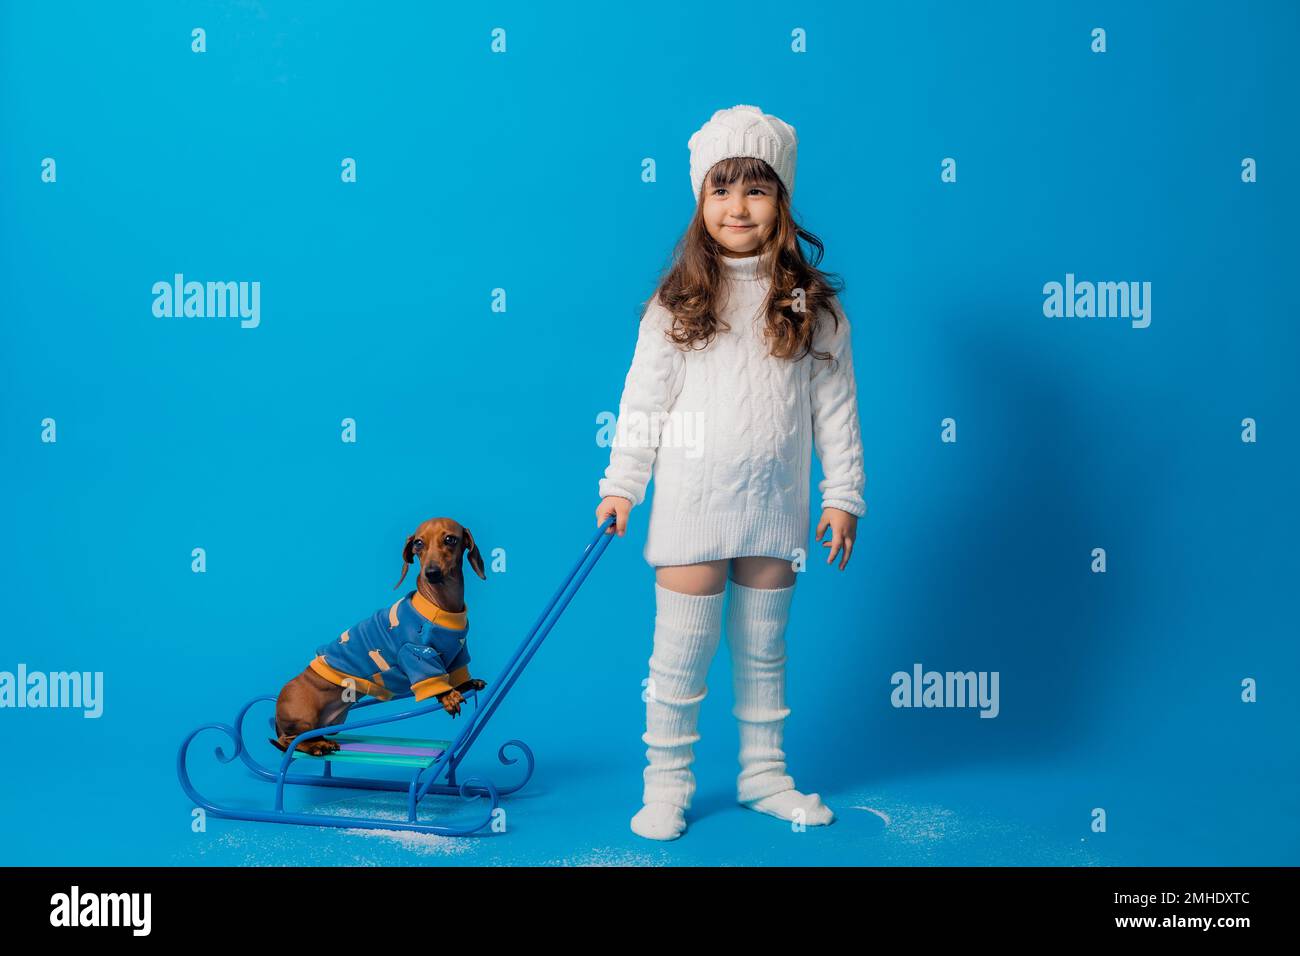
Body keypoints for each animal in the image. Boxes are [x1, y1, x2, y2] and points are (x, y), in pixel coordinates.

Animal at [269, 520, 488, 759]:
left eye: (450, 539)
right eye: (418, 543)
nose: (431, 573)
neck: (441, 605)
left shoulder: (459, 651)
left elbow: (458, 672)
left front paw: (467, 683)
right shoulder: (415, 653)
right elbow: (433, 678)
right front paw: (448, 696)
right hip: (302, 717)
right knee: (289, 741)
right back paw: (318, 745)